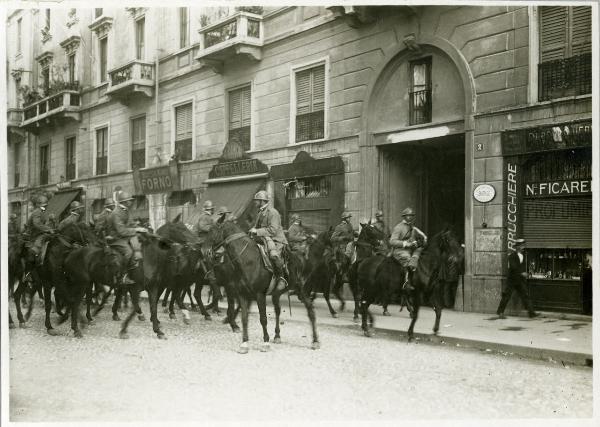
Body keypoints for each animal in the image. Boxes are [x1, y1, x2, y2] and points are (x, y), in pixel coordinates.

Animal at [206, 217, 318, 354]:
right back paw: (277, 336)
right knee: (277, 310)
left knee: (310, 310)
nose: (206, 253)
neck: (247, 260)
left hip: (300, 289)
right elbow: (244, 318)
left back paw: (315, 341)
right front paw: (244, 343)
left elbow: (263, 318)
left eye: (212, 231)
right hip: (277, 293)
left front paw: (265, 343)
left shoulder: (260, 295)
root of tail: (299, 257)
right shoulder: (243, 295)